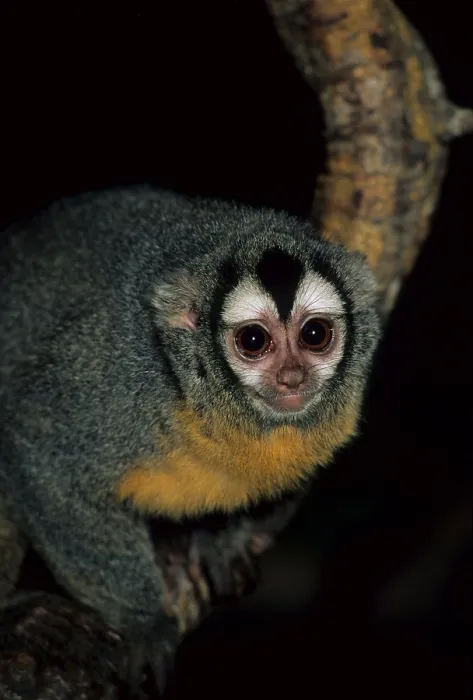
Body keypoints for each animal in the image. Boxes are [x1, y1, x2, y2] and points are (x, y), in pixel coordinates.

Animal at [0, 185, 380, 695]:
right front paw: (145, 621)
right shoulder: (114, 385)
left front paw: (218, 540)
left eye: (315, 334)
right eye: (254, 340)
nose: (292, 376)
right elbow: (38, 447)